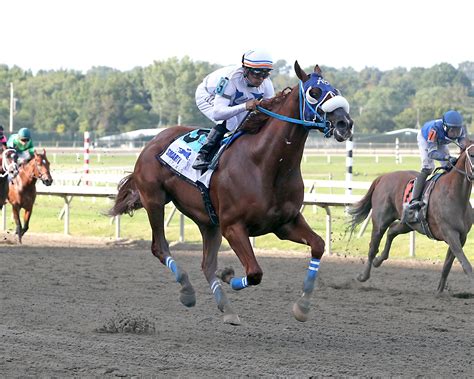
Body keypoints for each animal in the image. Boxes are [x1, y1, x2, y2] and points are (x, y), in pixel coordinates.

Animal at [108, 61, 352, 324]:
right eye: (313, 92)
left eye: (335, 90)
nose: (345, 124)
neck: (266, 164)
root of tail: (153, 141)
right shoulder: (233, 226)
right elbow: (254, 272)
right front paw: (227, 274)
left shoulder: (285, 223)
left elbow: (318, 245)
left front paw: (303, 307)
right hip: (154, 200)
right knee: (160, 247)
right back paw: (187, 291)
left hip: (208, 221)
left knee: (206, 264)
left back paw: (226, 308)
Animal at [346, 142, 472, 294]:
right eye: (472, 154)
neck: (454, 195)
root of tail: (383, 176)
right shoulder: (450, 233)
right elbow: (465, 264)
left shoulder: (462, 236)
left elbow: (447, 265)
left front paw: (439, 291)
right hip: (380, 221)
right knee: (373, 247)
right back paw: (363, 275)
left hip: (408, 223)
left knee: (392, 230)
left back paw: (378, 260)